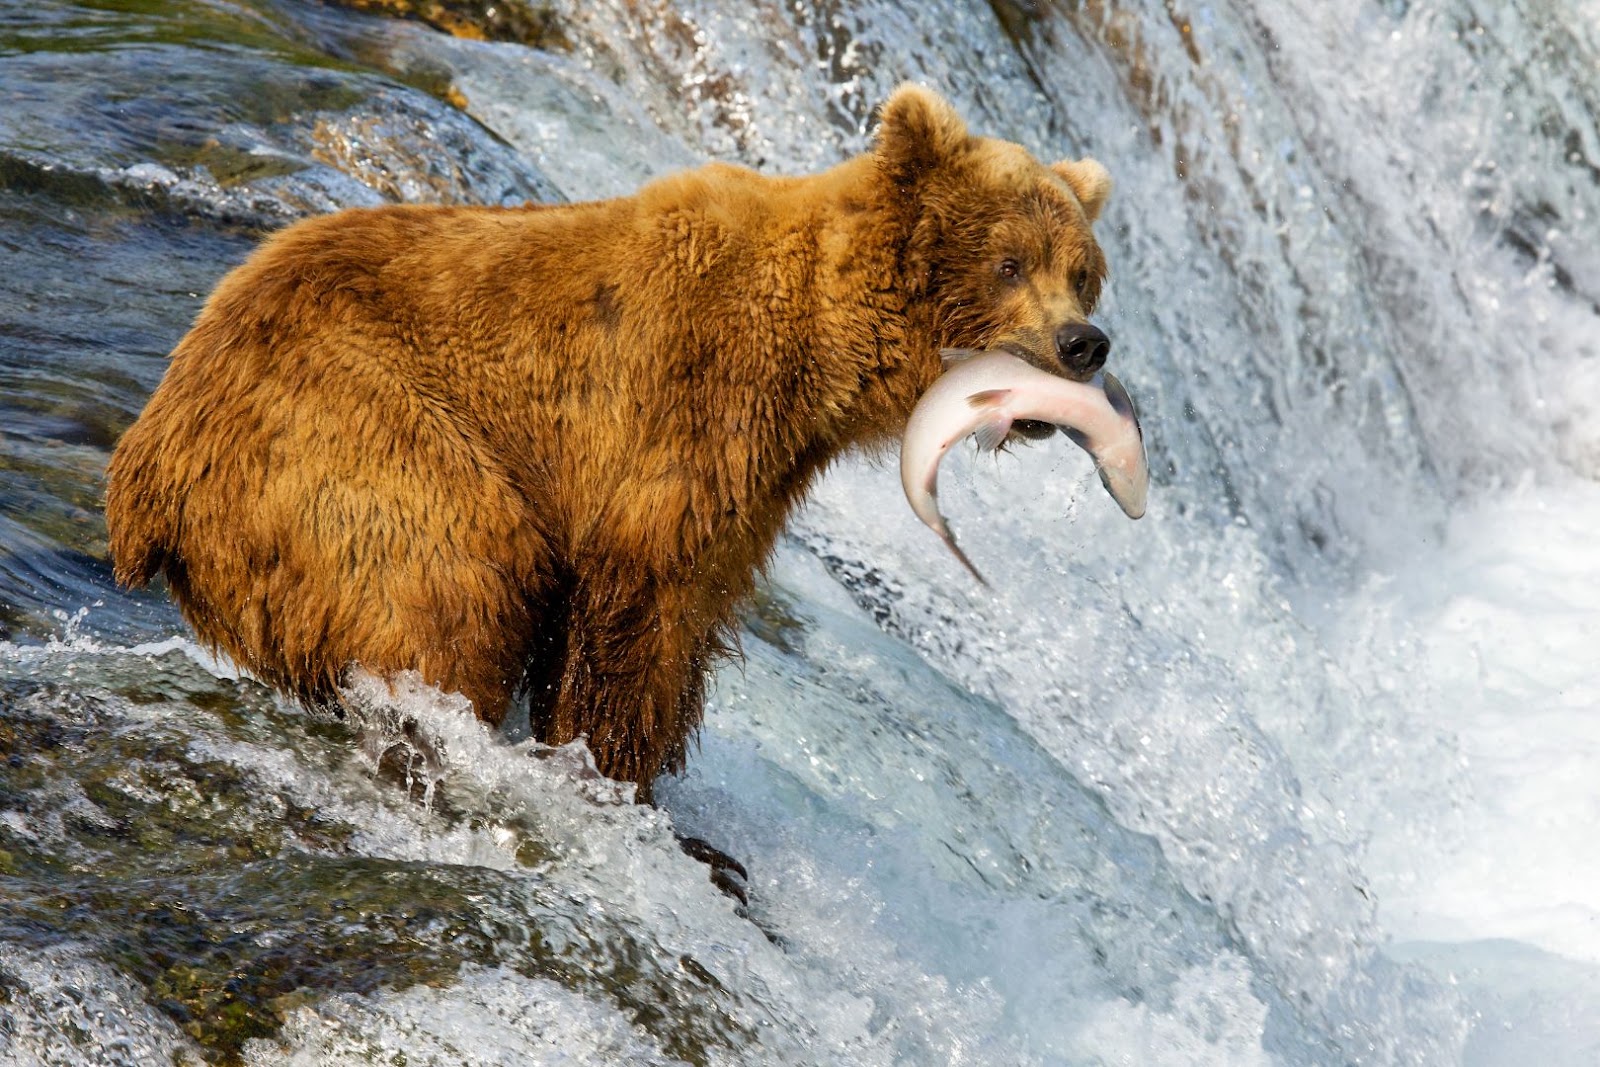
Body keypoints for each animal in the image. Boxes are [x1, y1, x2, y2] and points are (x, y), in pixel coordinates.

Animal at [104, 84, 1113, 802]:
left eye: (1082, 272)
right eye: (1009, 261)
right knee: (457, 573)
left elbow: (692, 614)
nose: (1084, 343)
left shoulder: (756, 479)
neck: (818, 349)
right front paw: (609, 767)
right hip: (349, 426)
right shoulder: (686, 407)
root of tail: (145, 463)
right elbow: (639, 605)